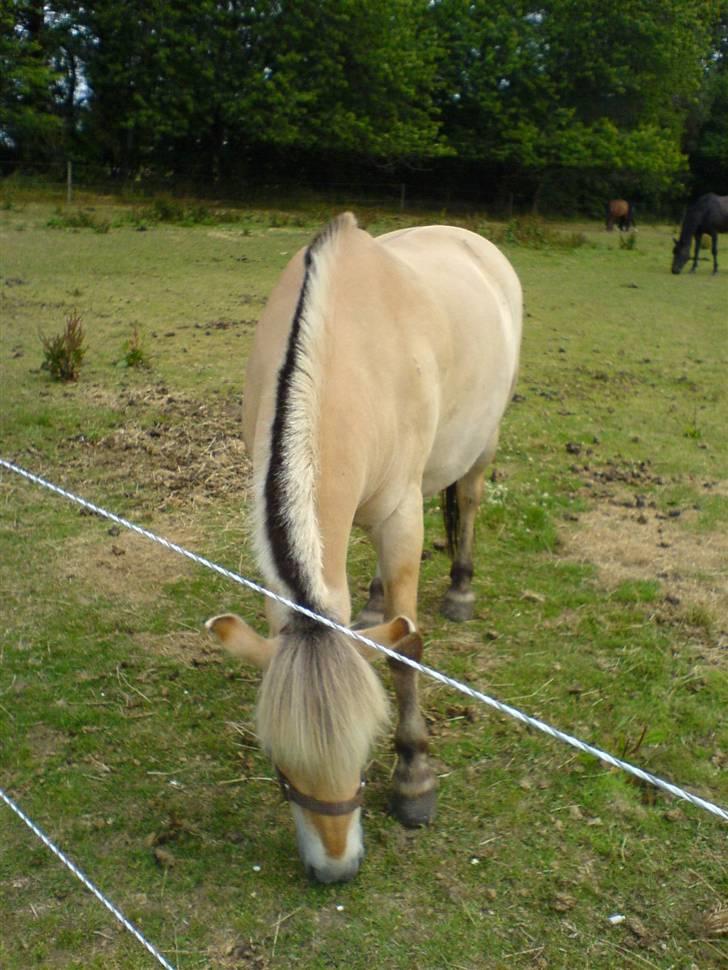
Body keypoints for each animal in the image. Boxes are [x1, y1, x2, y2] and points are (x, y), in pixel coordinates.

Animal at [208, 216, 520, 880]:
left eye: (362, 748)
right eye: (280, 764)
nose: (335, 868)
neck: (341, 354)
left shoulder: (402, 517)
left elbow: (407, 650)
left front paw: (414, 779)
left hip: (482, 441)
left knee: (469, 498)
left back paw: (461, 588)